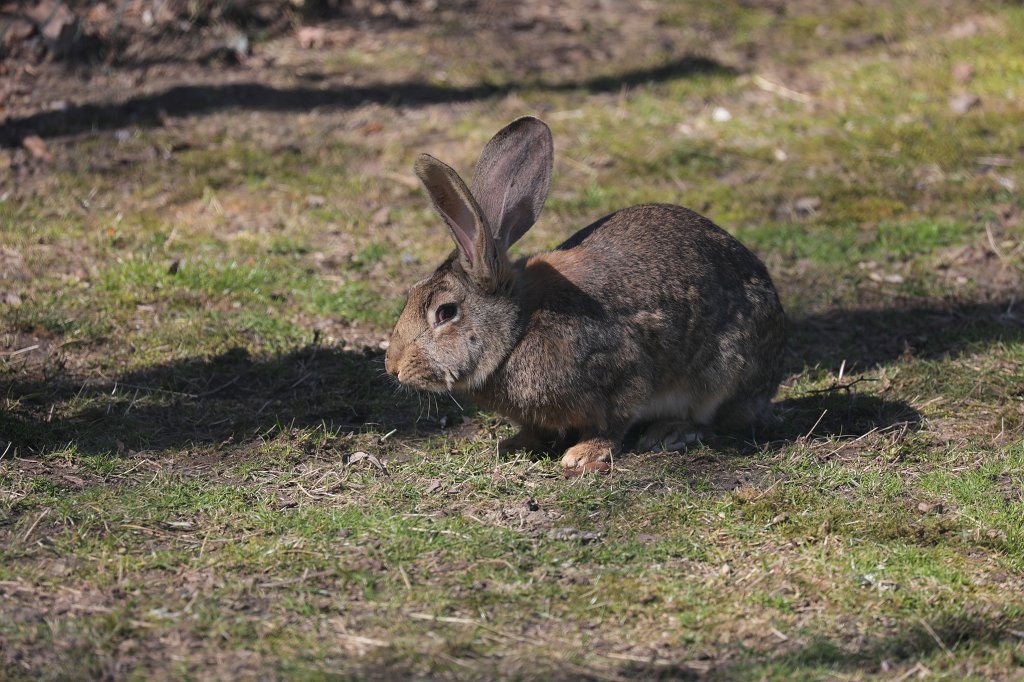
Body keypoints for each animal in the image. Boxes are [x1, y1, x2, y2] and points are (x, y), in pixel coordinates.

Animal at [384, 116, 786, 471]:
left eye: (446, 312)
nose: (394, 368)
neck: (519, 328)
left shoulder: (622, 373)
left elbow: (613, 422)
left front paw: (583, 454)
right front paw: (515, 444)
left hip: (723, 373)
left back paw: (670, 432)